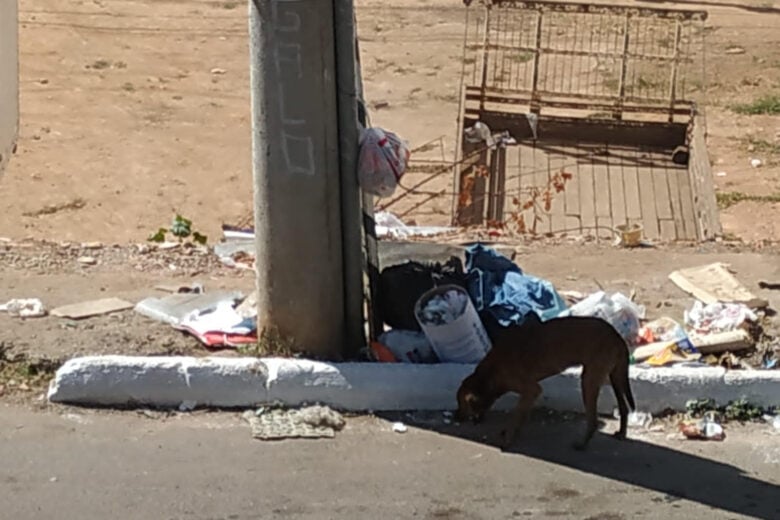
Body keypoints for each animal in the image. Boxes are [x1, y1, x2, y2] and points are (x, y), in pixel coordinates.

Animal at [458, 312, 632, 450]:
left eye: (461, 404)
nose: (456, 416)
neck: (489, 374)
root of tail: (617, 336)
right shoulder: (529, 394)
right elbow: (521, 416)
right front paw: (513, 432)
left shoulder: (531, 389)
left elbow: (517, 415)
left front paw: (508, 440)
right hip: (615, 377)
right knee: (624, 408)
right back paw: (621, 433)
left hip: (589, 380)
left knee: (594, 421)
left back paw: (582, 445)